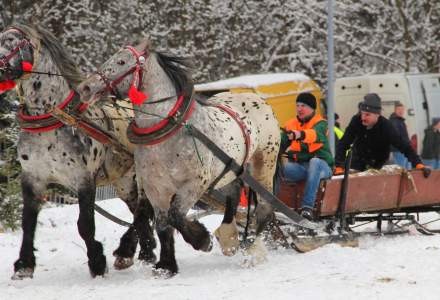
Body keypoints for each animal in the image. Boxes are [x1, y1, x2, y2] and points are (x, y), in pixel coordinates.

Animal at [0, 24, 156, 278]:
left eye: (12, 41)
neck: (52, 119)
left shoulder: (84, 180)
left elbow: (85, 225)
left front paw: (97, 262)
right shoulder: (33, 178)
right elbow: (28, 223)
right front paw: (24, 265)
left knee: (143, 209)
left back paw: (128, 250)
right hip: (124, 182)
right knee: (139, 213)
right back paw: (143, 251)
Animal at [78, 41, 280, 276]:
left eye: (121, 61)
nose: (85, 87)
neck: (168, 131)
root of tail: (257, 99)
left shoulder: (194, 184)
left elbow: (175, 216)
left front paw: (202, 240)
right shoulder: (155, 188)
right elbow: (163, 226)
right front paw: (166, 266)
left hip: (264, 164)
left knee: (264, 208)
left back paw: (255, 252)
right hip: (228, 171)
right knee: (233, 195)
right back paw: (229, 238)